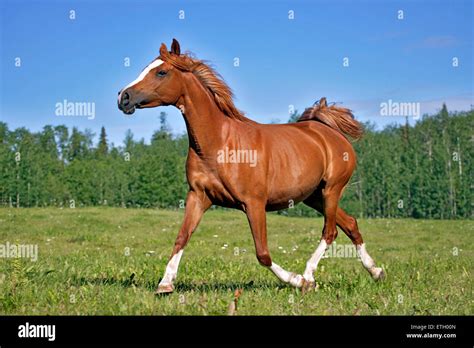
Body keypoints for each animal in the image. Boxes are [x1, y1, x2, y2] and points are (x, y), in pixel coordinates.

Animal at [118, 38, 386, 294]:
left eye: (161, 72)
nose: (123, 97)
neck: (219, 145)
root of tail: (329, 131)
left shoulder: (254, 203)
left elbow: (263, 254)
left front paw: (297, 281)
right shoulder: (198, 196)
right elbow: (181, 237)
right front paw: (165, 284)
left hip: (332, 190)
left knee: (330, 232)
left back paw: (309, 277)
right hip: (314, 196)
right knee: (350, 223)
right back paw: (376, 272)